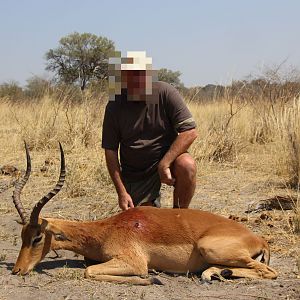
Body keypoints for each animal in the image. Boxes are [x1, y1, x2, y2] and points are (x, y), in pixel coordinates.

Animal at [11, 144, 278, 284]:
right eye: (21, 235)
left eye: (37, 237)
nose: (16, 270)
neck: (106, 230)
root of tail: (259, 239)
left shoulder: (133, 262)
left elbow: (90, 271)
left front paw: (152, 278)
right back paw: (217, 273)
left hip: (210, 248)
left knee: (269, 272)